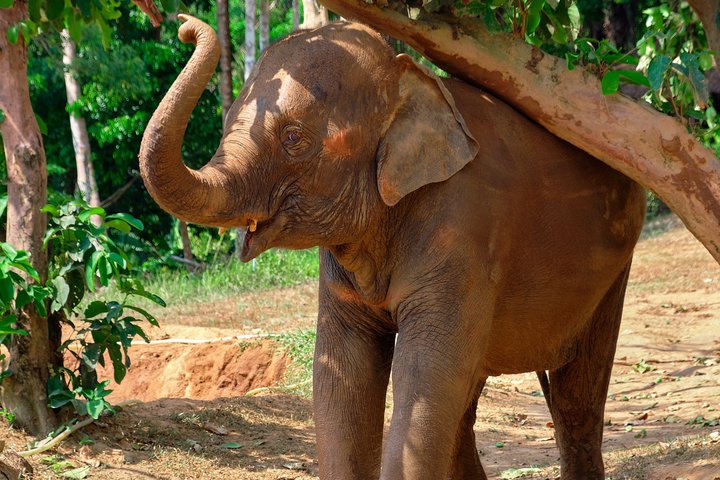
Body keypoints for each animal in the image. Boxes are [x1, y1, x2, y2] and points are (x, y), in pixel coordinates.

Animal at [139, 15, 646, 480]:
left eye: (293, 139)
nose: (182, 25)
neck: (408, 79)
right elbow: (342, 376)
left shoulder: (464, 232)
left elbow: (423, 376)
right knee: (465, 406)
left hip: (613, 271)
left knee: (574, 401)